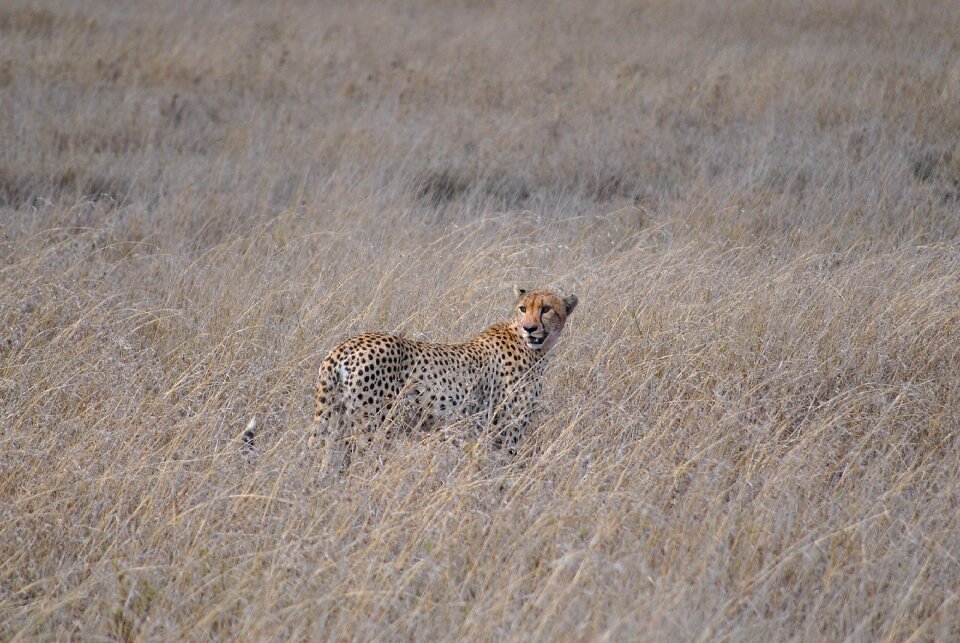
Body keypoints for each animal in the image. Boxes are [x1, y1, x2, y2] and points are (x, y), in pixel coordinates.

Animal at [314, 286, 576, 462]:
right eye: (523, 309)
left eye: (546, 309)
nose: (529, 328)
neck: (532, 347)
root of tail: (346, 345)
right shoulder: (506, 431)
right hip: (373, 426)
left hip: (335, 420)